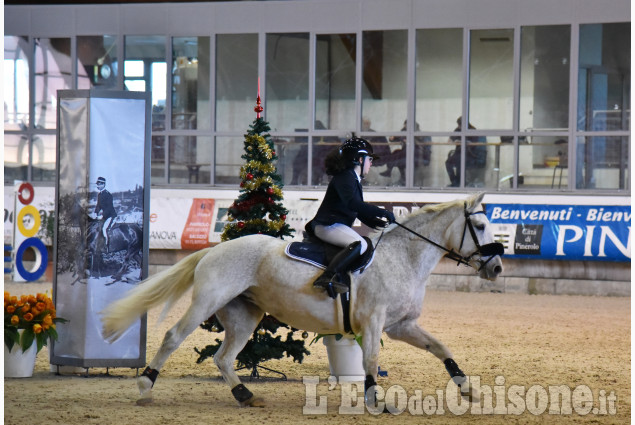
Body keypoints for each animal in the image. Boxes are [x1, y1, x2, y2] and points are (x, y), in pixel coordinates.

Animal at [102, 191, 504, 404]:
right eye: (480, 225)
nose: (498, 267)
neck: (403, 257)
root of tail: (215, 249)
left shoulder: (401, 325)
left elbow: (440, 348)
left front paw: (468, 388)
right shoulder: (374, 323)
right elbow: (371, 361)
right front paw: (375, 401)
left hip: (245, 316)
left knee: (224, 357)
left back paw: (245, 395)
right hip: (208, 301)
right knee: (174, 337)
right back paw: (145, 386)